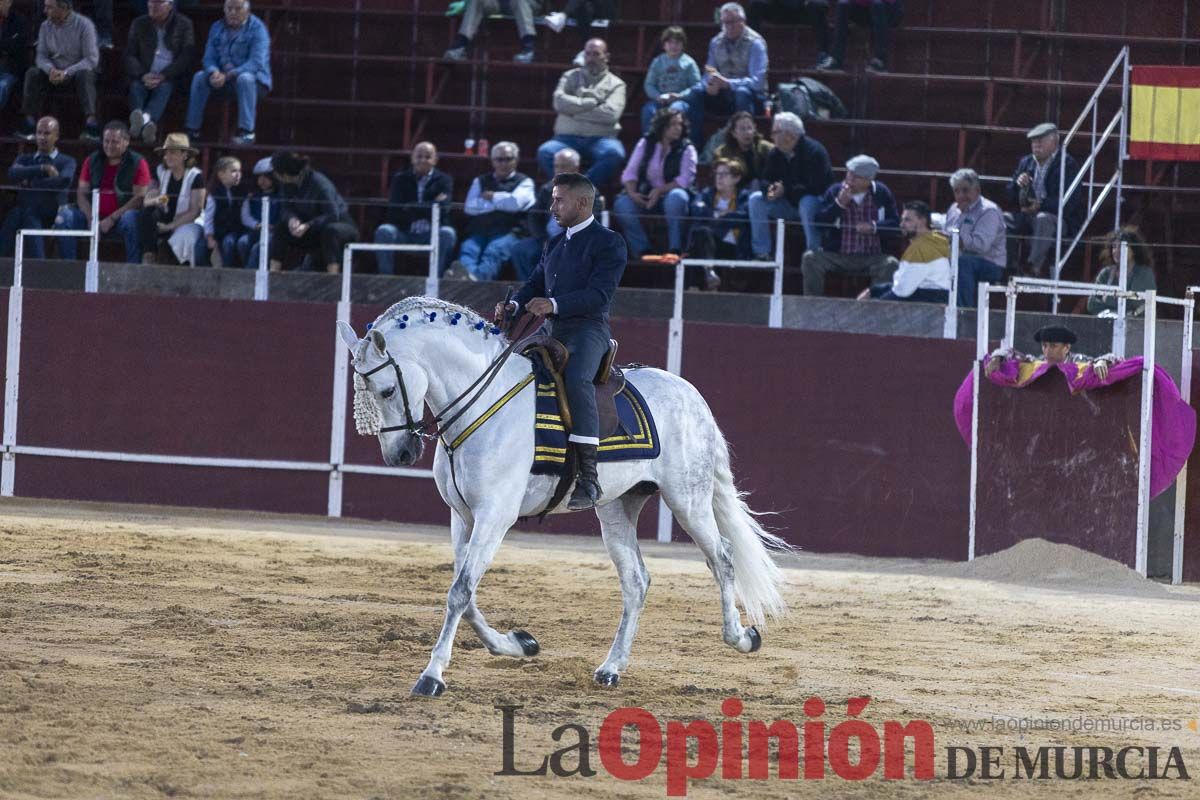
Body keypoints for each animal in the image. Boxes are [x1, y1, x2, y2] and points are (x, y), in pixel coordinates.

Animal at [338, 297, 787, 695]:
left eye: (385, 390)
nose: (399, 454)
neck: (483, 403)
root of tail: (691, 396)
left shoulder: (494, 516)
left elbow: (461, 591)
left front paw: (432, 675)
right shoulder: (462, 517)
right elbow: (466, 592)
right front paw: (517, 644)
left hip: (688, 501)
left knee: (722, 559)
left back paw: (741, 637)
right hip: (617, 508)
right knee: (636, 581)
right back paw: (611, 668)